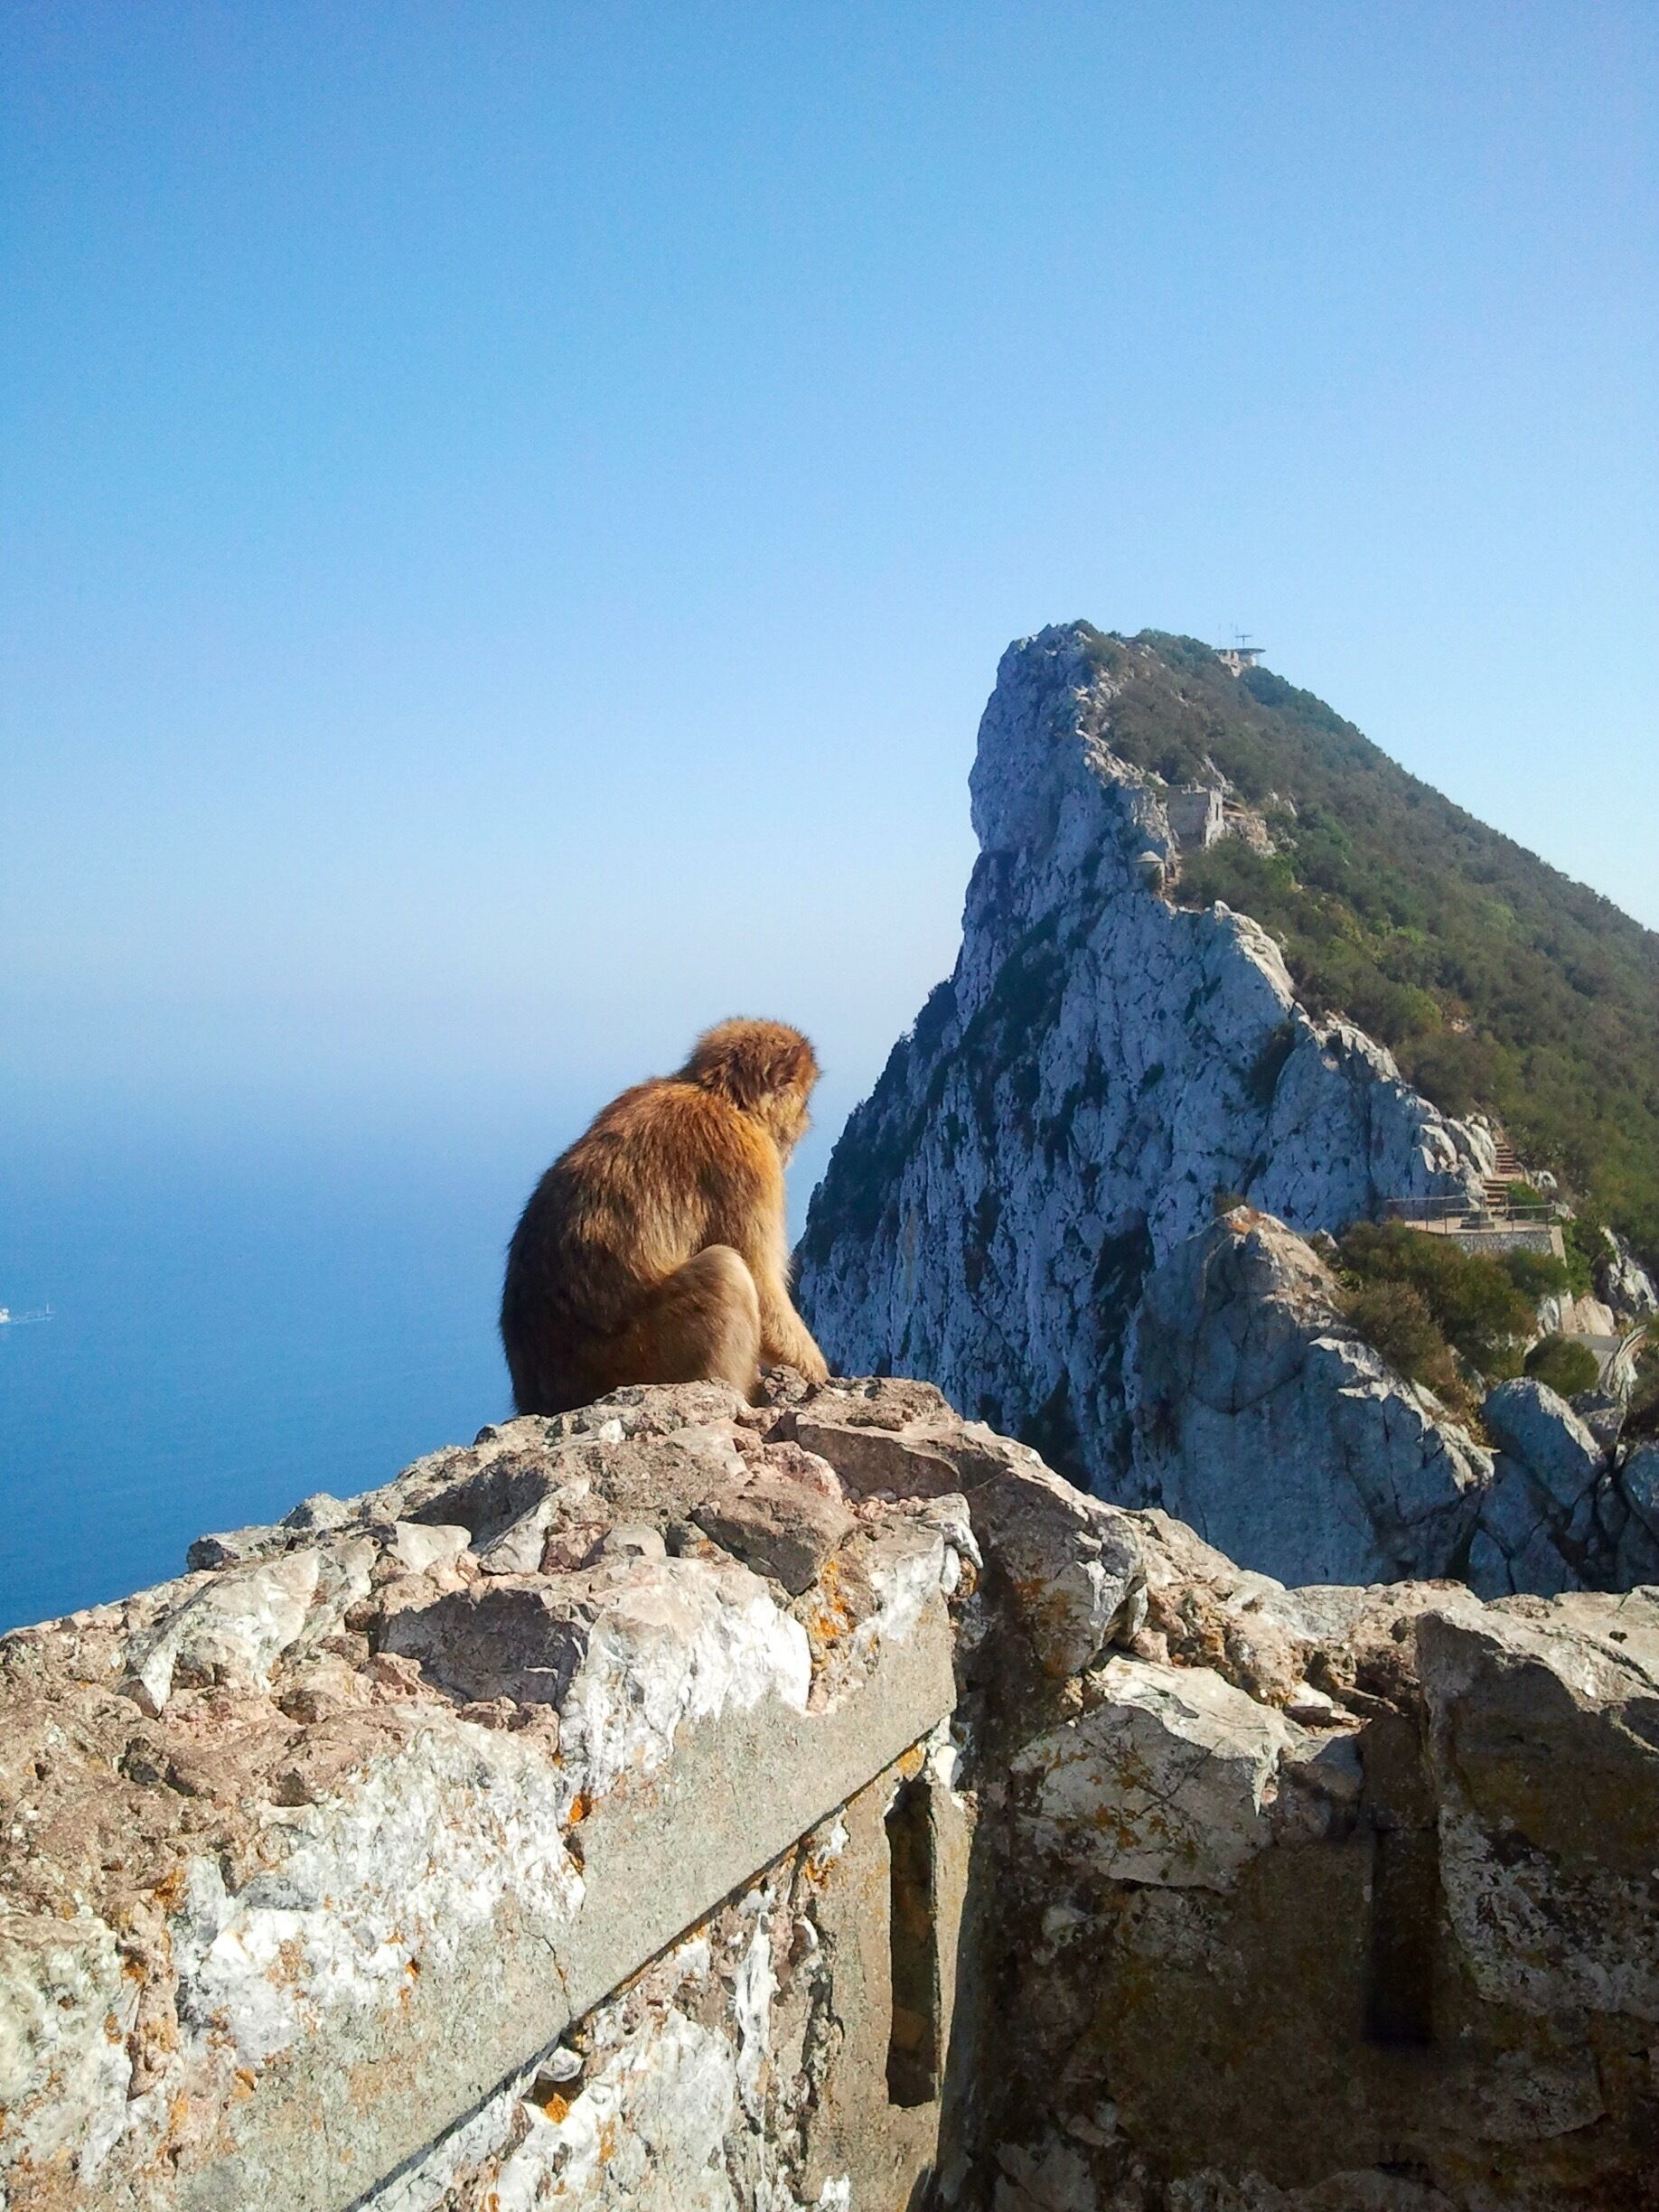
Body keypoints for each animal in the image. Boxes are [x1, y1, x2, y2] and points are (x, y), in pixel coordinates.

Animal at [500, 1018, 831, 1416]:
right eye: (804, 1101)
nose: (808, 1121)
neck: (718, 1096)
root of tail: (541, 1398)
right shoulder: (749, 1164)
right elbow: (764, 1289)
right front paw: (818, 1375)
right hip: (635, 1361)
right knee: (726, 1272)